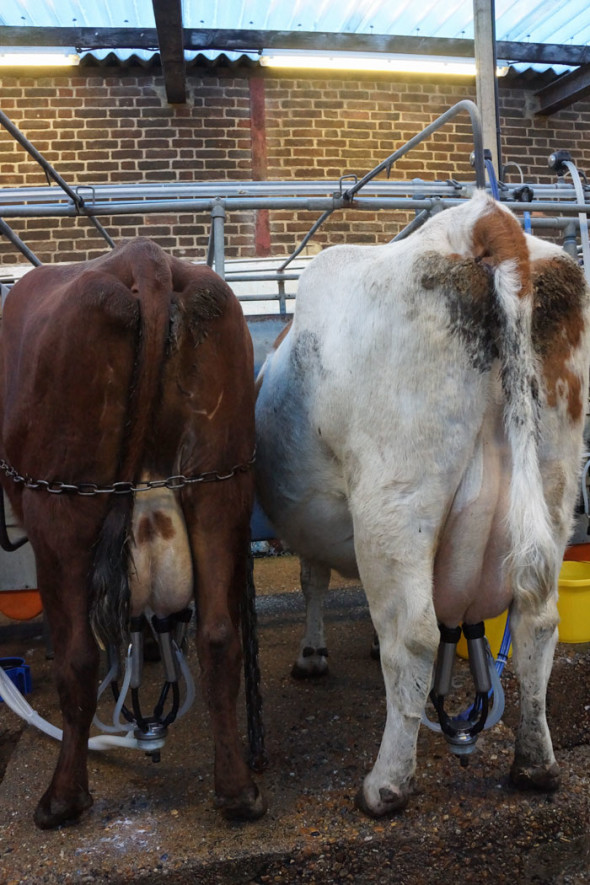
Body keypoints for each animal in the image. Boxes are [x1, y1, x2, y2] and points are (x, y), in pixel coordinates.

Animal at [0, 237, 266, 828]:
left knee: (77, 657)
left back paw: (61, 800)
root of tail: (145, 257)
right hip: (220, 487)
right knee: (219, 637)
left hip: (64, 506)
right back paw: (238, 791)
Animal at [256, 192, 590, 816]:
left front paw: (312, 655)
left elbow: (313, 580)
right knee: (536, 622)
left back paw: (385, 785)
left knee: (411, 633)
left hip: (396, 501)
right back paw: (536, 764)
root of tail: (482, 218)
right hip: (555, 482)